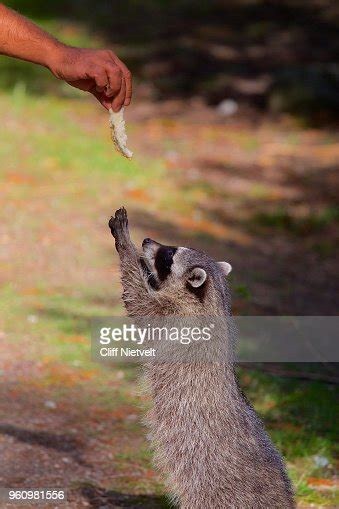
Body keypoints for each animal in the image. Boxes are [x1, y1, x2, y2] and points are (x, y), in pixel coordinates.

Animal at [109, 207, 294, 508]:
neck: (212, 299)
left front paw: (126, 246)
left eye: (168, 255)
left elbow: (138, 301)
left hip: (211, 485)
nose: (147, 240)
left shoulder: (175, 316)